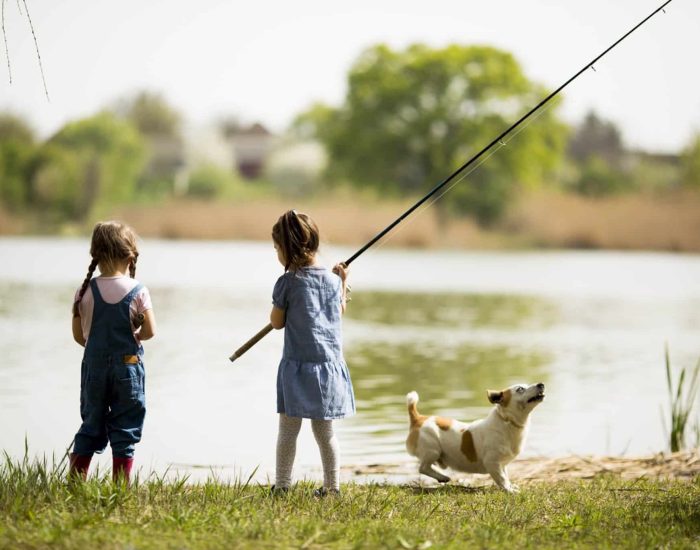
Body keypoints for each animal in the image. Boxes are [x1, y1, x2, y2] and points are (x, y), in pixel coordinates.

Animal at [404, 384, 548, 496]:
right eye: (520, 389)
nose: (541, 384)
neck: (508, 422)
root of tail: (419, 418)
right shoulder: (492, 463)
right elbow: (501, 479)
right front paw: (509, 491)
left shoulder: (502, 464)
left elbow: (506, 477)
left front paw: (511, 487)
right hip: (433, 450)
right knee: (423, 468)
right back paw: (443, 477)